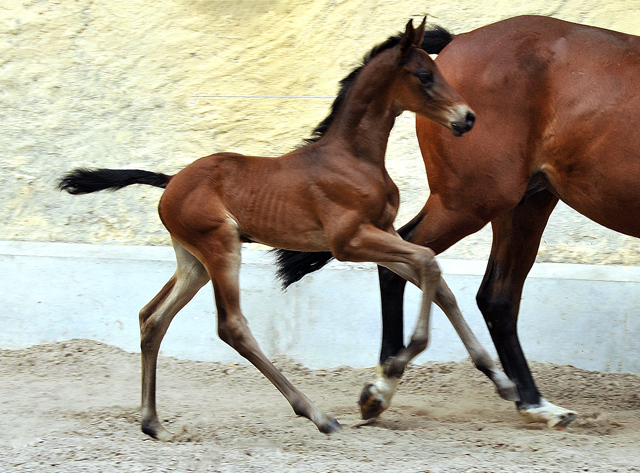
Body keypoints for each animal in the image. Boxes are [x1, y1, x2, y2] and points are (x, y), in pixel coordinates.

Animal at [276, 15, 640, 428]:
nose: (464, 118)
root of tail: (459, 40)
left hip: (524, 204)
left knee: (495, 296)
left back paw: (533, 403)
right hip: (472, 201)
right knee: (410, 261)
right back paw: (384, 387)